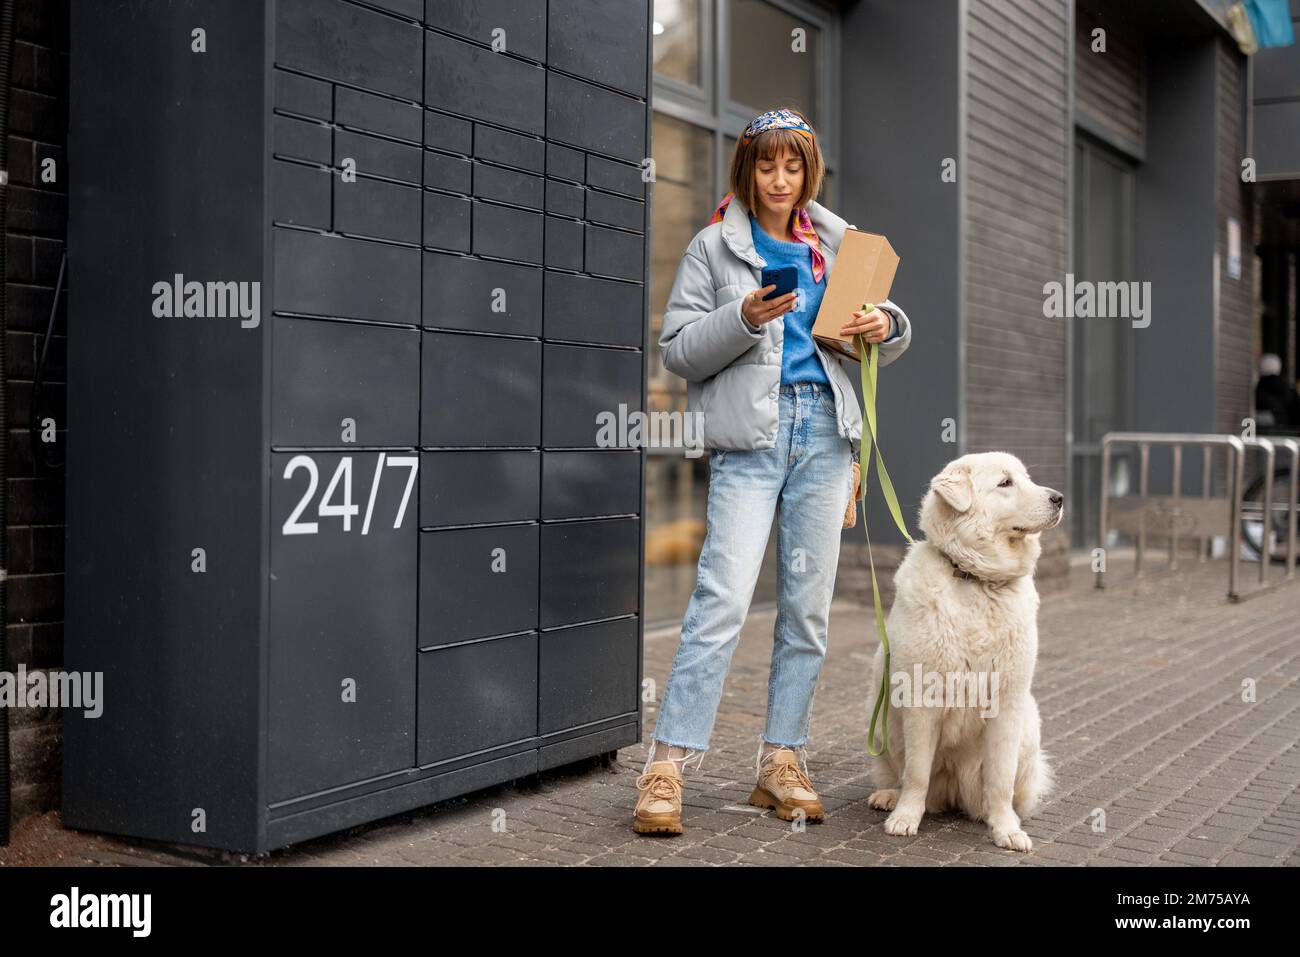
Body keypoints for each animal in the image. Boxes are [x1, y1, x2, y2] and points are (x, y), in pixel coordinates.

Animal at [868, 452, 1060, 847]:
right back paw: (890, 797)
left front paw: (1006, 830)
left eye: (1027, 478)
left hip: (1029, 725)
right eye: (1005, 483)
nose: (1059, 498)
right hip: (880, 717)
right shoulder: (920, 700)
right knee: (900, 774)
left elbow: (1000, 780)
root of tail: (952, 795)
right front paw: (906, 817)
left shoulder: (1007, 703)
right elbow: (916, 773)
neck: (975, 578)